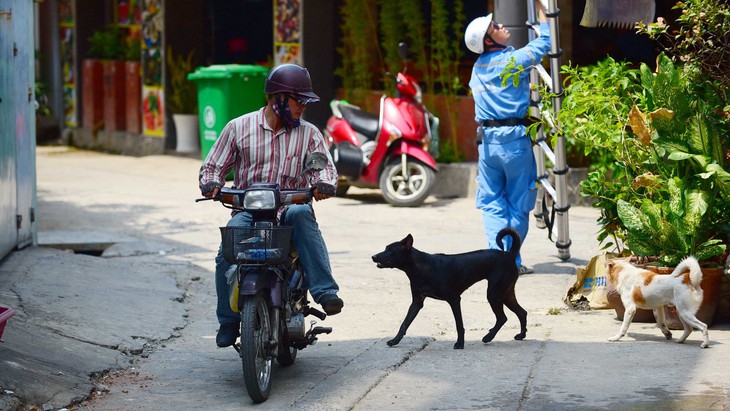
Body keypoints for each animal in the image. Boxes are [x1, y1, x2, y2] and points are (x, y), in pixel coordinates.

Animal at [370, 229, 524, 350]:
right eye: (385, 248)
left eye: (390, 250)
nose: (373, 256)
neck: (420, 267)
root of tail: (509, 254)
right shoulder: (417, 303)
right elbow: (404, 324)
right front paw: (394, 341)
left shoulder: (454, 300)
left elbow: (459, 324)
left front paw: (460, 344)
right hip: (505, 294)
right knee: (522, 312)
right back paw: (521, 335)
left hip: (494, 294)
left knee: (502, 318)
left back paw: (488, 337)